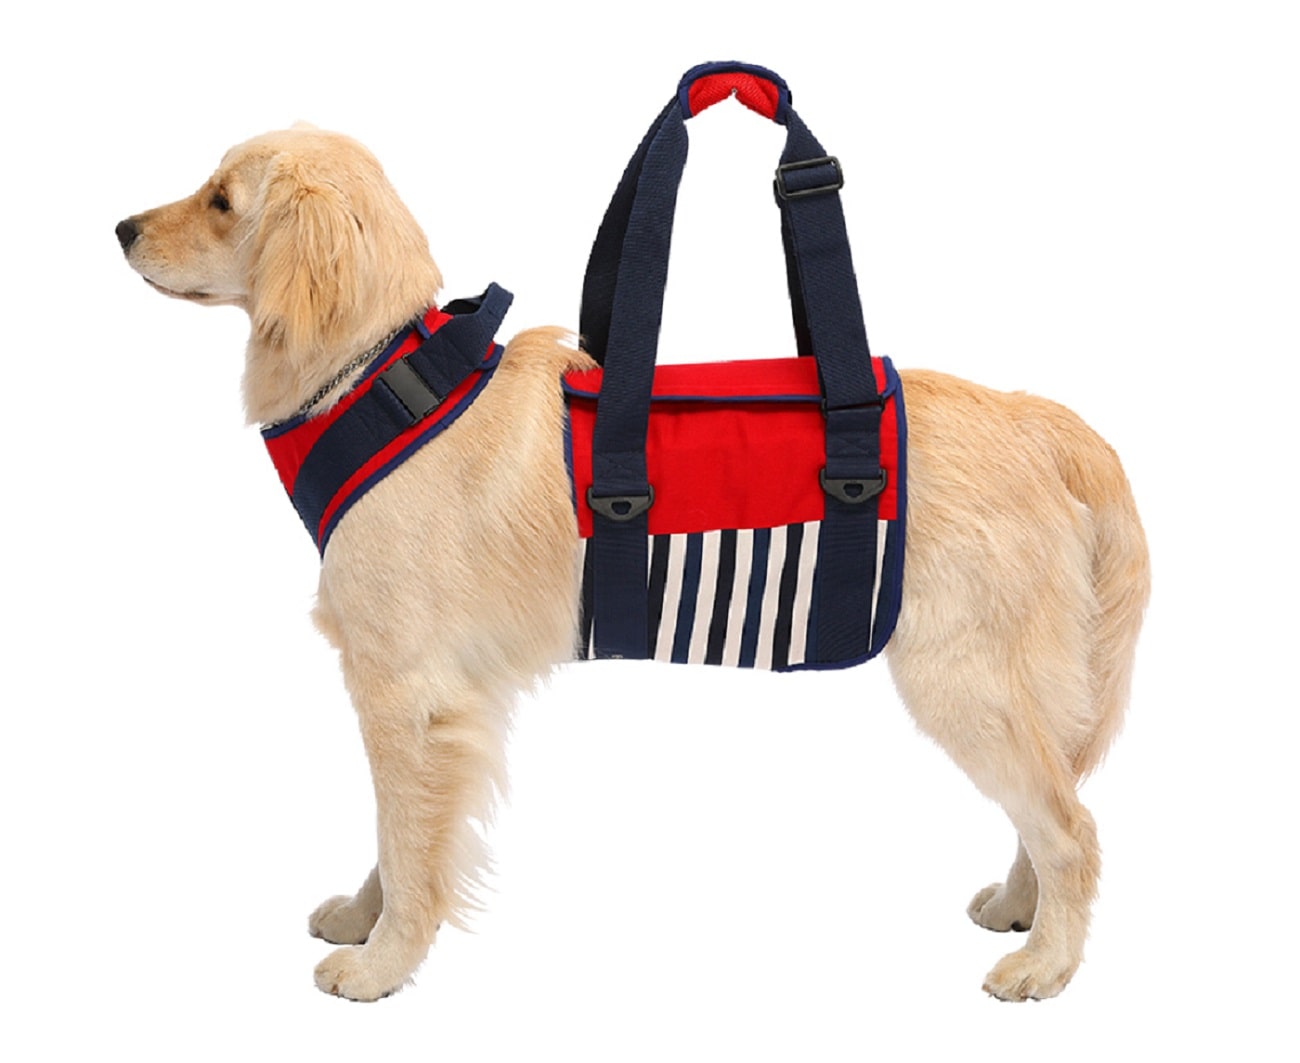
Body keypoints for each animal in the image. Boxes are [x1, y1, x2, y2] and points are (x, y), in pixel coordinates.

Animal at [116, 124, 1149, 1003]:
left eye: (220, 200)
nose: (121, 227)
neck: (379, 377)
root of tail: (1032, 417)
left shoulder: (407, 690)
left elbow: (408, 841)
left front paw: (383, 962)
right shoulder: (425, 698)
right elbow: (397, 831)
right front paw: (367, 923)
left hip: (962, 677)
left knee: (1073, 827)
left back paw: (1046, 962)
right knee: (1050, 797)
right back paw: (1021, 909)